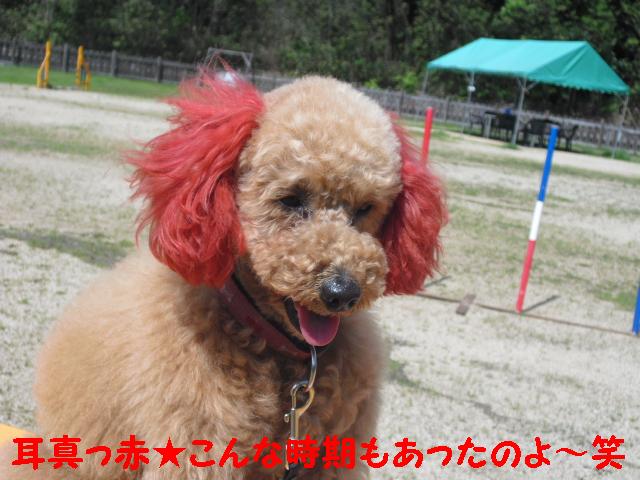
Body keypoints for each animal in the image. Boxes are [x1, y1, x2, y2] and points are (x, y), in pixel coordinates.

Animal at [1, 72, 445, 479]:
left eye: (365, 208)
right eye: (291, 200)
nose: (342, 291)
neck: (284, 353)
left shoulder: (333, 457)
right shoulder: (196, 449)